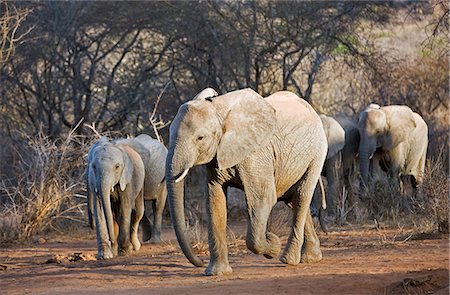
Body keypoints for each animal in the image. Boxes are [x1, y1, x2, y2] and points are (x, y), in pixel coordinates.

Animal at [165, 88, 326, 278]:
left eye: (200, 138)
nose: (199, 262)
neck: (218, 108)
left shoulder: (256, 154)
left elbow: (263, 199)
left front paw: (273, 243)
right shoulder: (217, 157)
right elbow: (215, 201)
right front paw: (217, 273)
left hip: (317, 153)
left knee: (301, 196)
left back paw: (288, 259)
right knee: (293, 200)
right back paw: (311, 258)